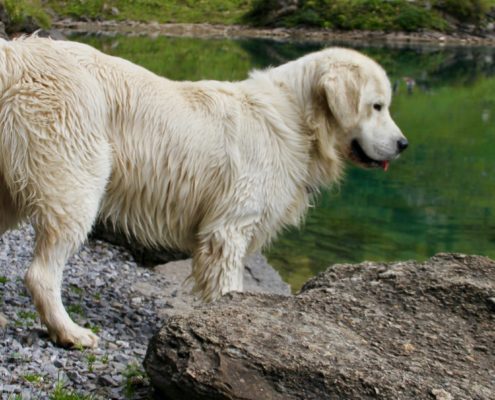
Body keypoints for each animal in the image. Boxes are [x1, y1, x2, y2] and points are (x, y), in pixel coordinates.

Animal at [0, 36, 406, 346]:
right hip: (78, 182)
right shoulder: (229, 227)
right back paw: (69, 332)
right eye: (377, 106)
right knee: (41, 275)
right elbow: (228, 285)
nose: (403, 144)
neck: (296, 120)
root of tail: (17, 56)